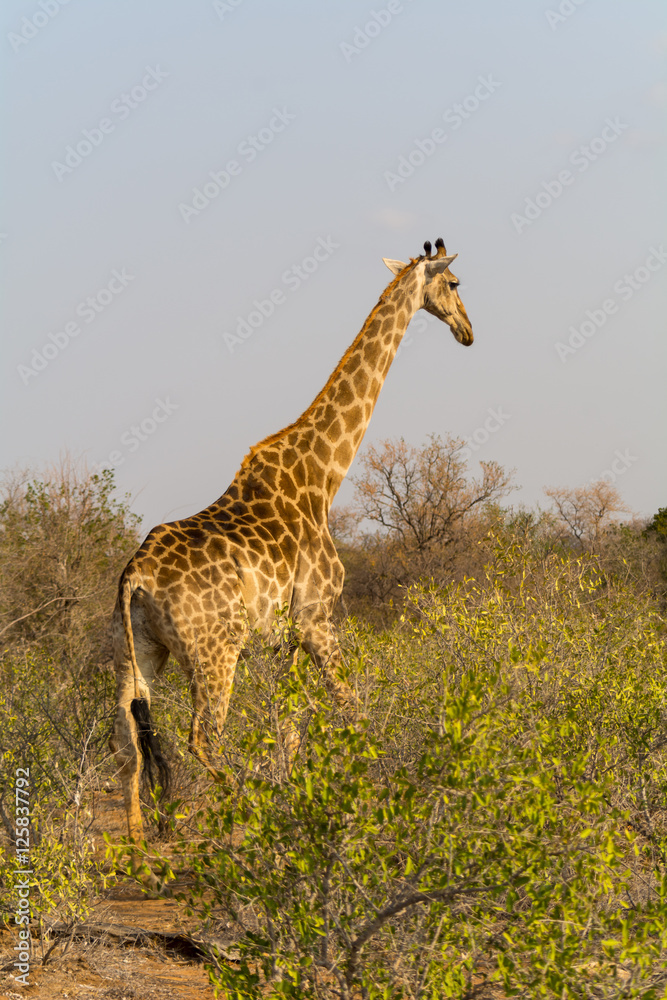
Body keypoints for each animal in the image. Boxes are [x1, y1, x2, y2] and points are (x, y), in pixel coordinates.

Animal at [110, 238, 473, 839]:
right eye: (454, 284)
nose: (468, 331)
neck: (322, 474)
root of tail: (135, 575)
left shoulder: (284, 640)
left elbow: (291, 724)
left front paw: (300, 795)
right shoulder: (317, 618)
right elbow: (351, 708)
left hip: (140, 649)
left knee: (129, 734)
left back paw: (142, 838)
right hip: (215, 651)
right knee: (202, 737)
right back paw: (243, 811)